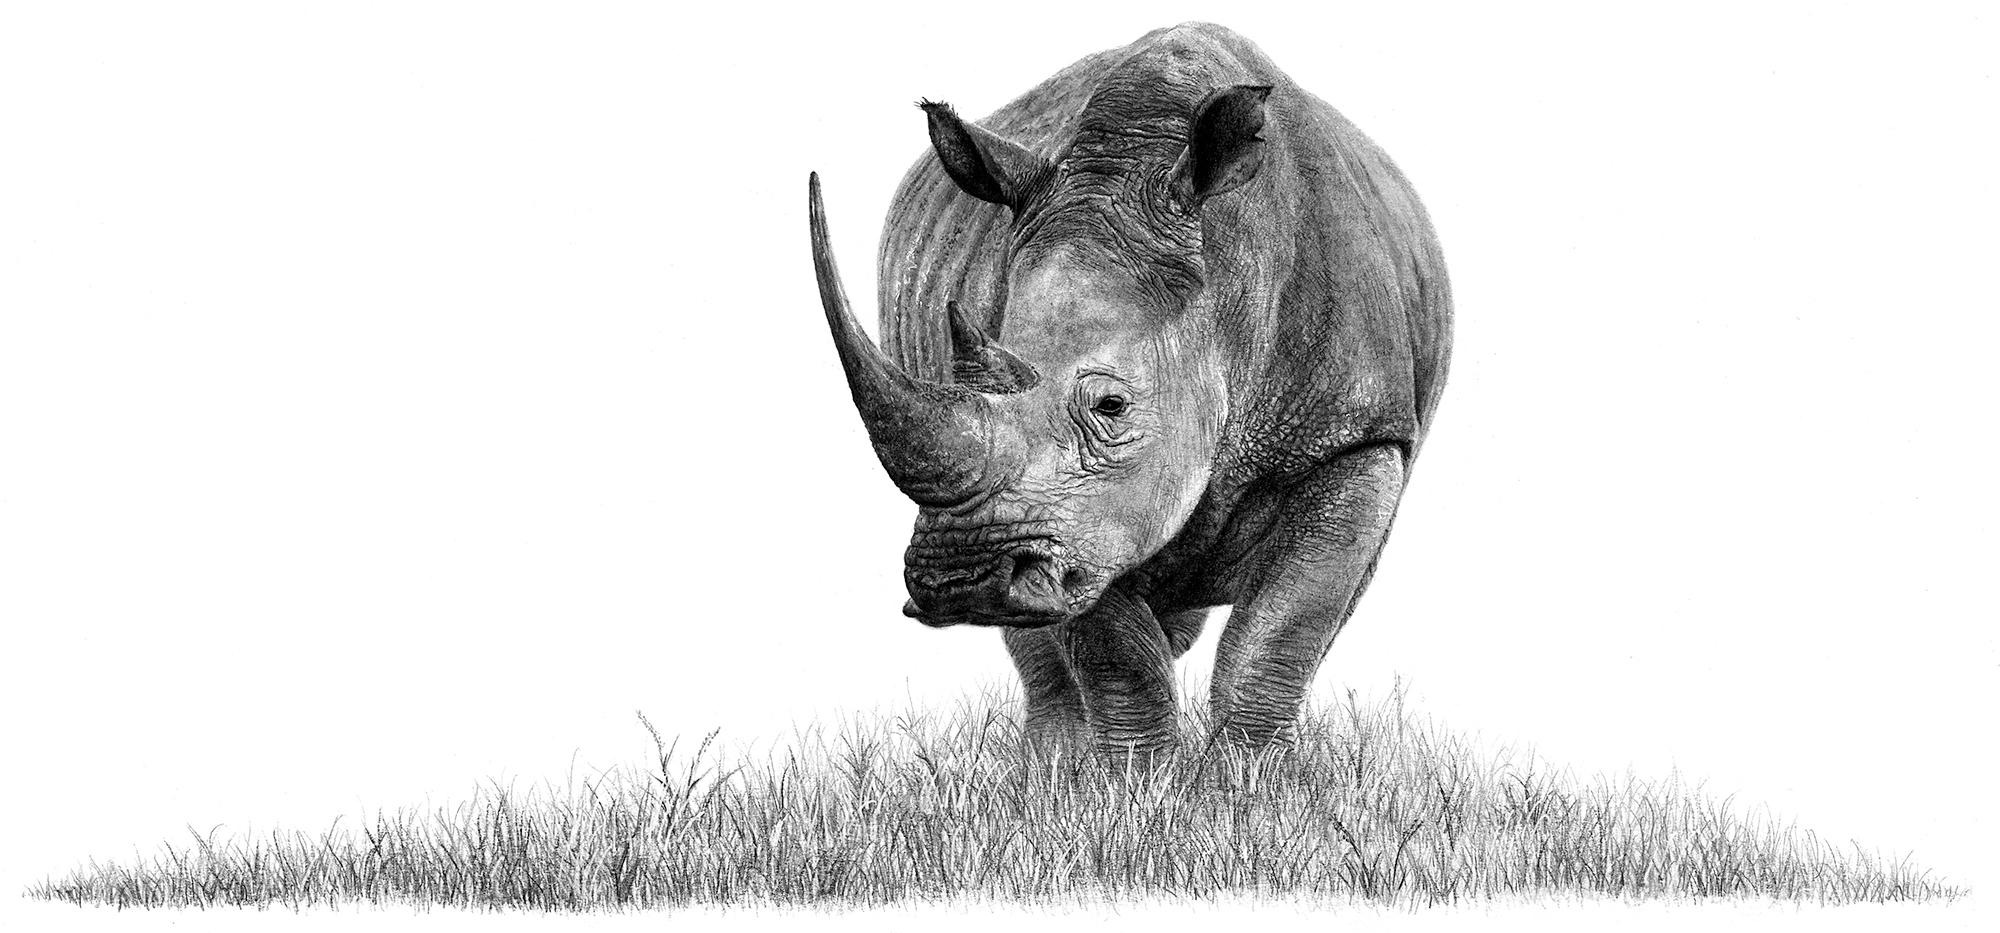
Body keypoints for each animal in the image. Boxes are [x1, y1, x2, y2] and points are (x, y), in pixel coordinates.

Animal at [807, 22, 1450, 755]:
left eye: (1112, 406)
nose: (959, 580)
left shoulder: (1356, 437)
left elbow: (1277, 635)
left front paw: (1247, 785)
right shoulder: (1079, 521)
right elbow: (1117, 656)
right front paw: (1136, 786)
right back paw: (1052, 776)